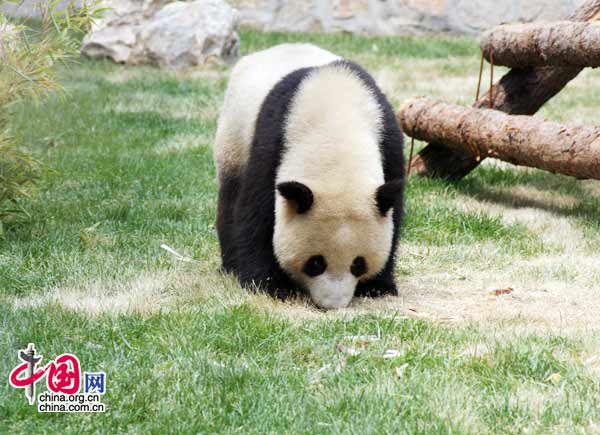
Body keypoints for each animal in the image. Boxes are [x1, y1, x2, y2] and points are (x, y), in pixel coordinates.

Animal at [213, 43, 406, 310]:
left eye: (358, 264)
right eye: (315, 263)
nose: (333, 304)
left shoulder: (388, 140)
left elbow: (393, 213)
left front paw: (378, 286)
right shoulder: (272, 140)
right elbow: (256, 212)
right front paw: (271, 285)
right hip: (234, 136)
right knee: (231, 198)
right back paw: (231, 265)